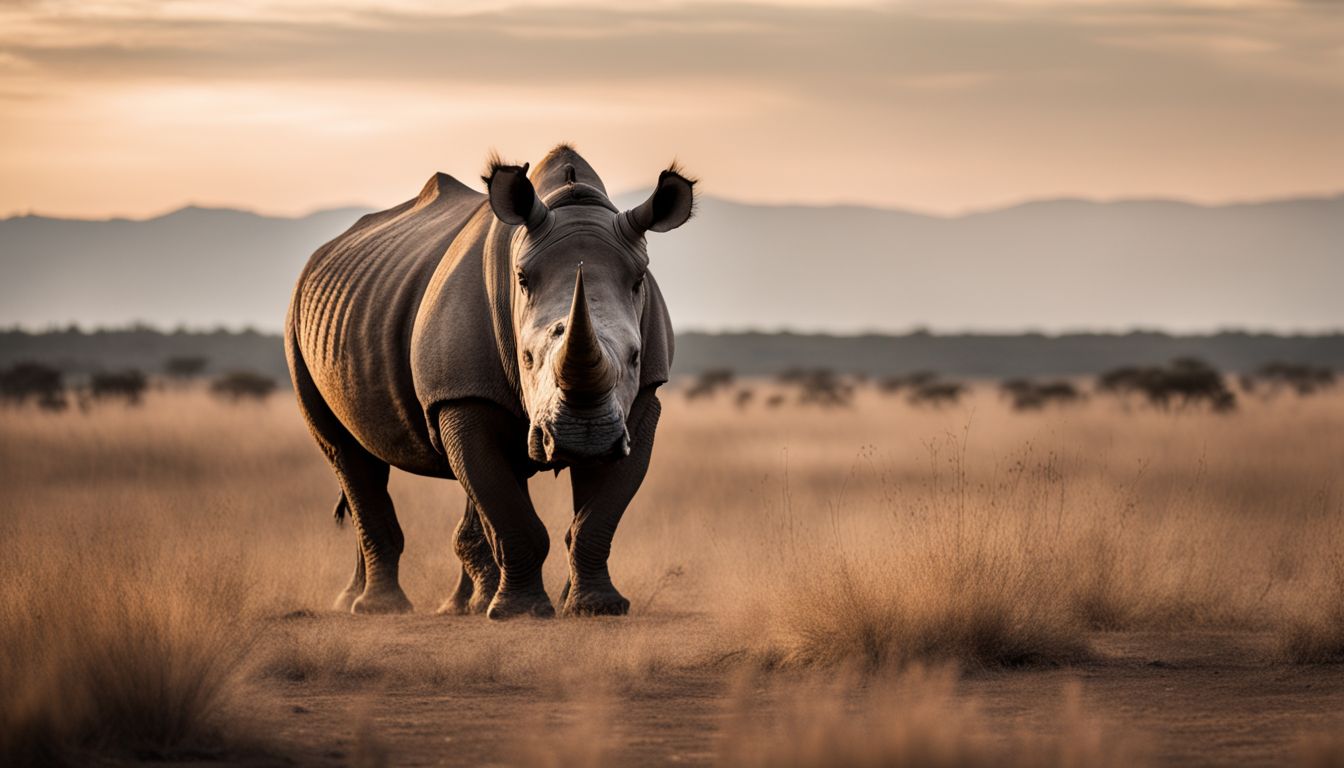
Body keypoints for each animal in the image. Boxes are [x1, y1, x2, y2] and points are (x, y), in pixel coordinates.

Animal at [284, 145, 694, 619]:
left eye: (633, 358)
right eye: (527, 358)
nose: (582, 438)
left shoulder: (642, 399)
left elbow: (596, 518)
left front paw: (597, 608)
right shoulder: (460, 395)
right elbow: (508, 509)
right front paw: (520, 613)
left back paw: (456, 606)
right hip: (298, 322)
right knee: (346, 454)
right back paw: (379, 608)